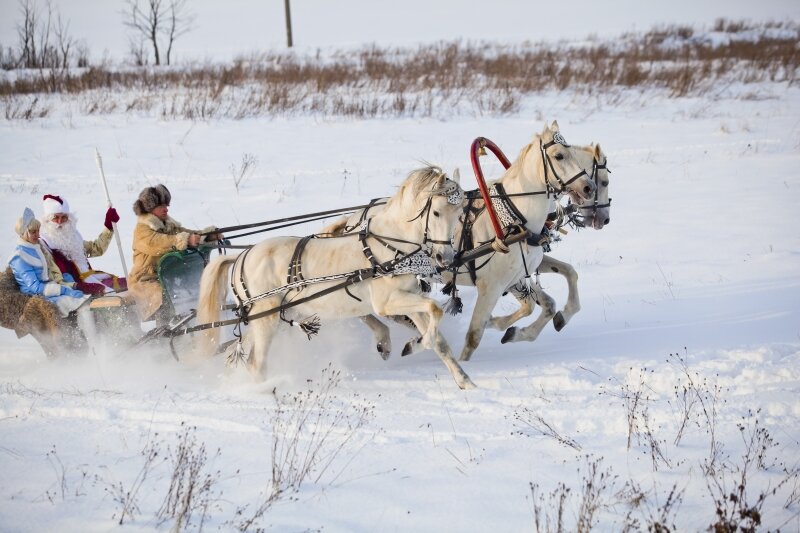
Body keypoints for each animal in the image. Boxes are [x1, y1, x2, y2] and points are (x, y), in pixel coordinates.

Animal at [198, 165, 476, 386]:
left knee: (241, 355)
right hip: (265, 318)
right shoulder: (387, 302)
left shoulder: (409, 297)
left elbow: (437, 333)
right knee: (256, 363)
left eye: (460, 212)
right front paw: (418, 343)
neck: (392, 245)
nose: (446, 257)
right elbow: (435, 310)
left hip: (272, 318)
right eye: (437, 212)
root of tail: (242, 256)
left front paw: (464, 380)